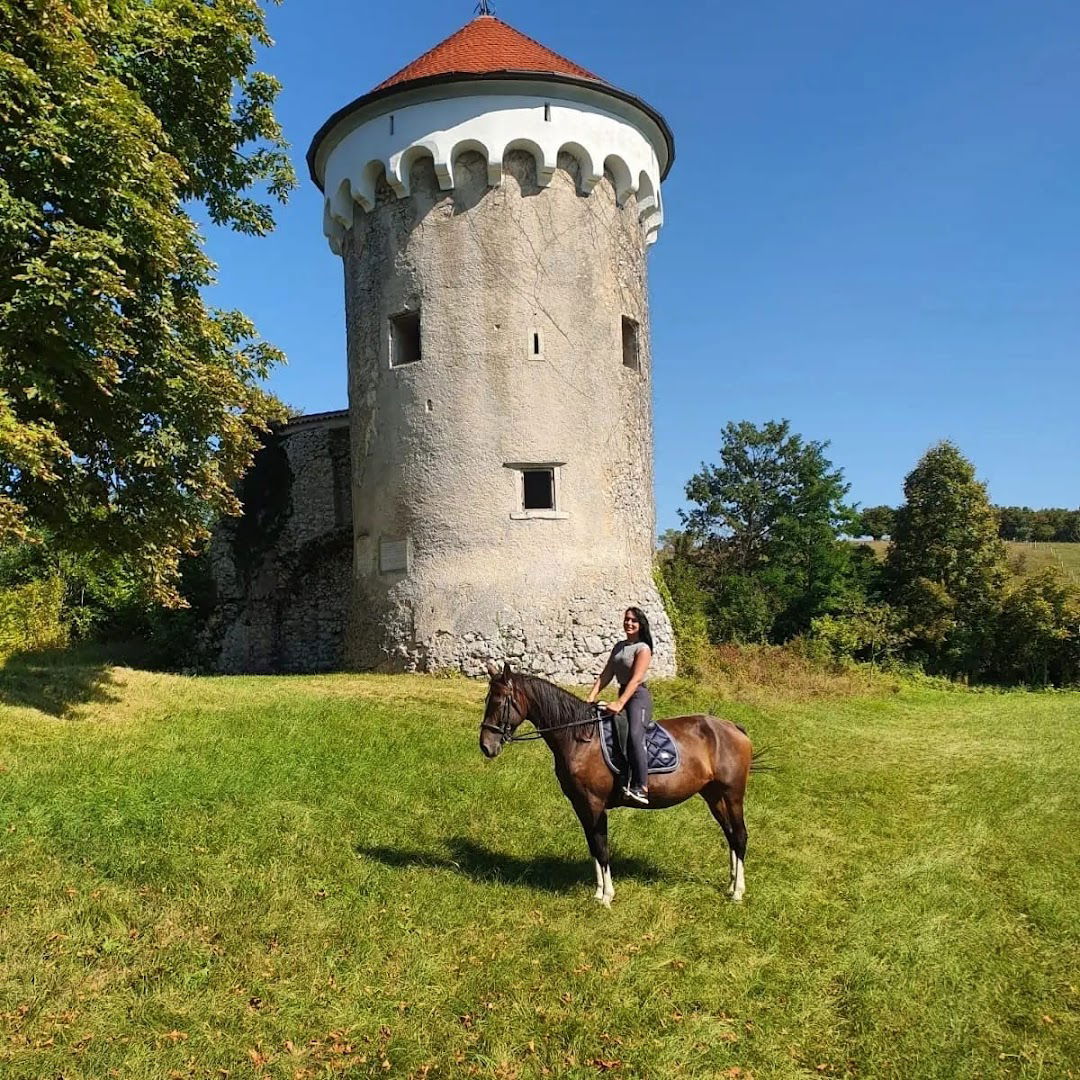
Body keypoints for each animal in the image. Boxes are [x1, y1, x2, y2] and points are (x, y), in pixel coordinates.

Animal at [481, 660, 751, 907]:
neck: (580, 738)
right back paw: (730, 885)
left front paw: (606, 897)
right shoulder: (580, 804)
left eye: (499, 702)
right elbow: (593, 845)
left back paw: (738, 893)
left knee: (739, 835)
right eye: (487, 700)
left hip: (733, 795)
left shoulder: (594, 803)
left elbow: (602, 847)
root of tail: (733, 728)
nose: (486, 746)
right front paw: (598, 892)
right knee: (729, 835)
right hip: (713, 795)